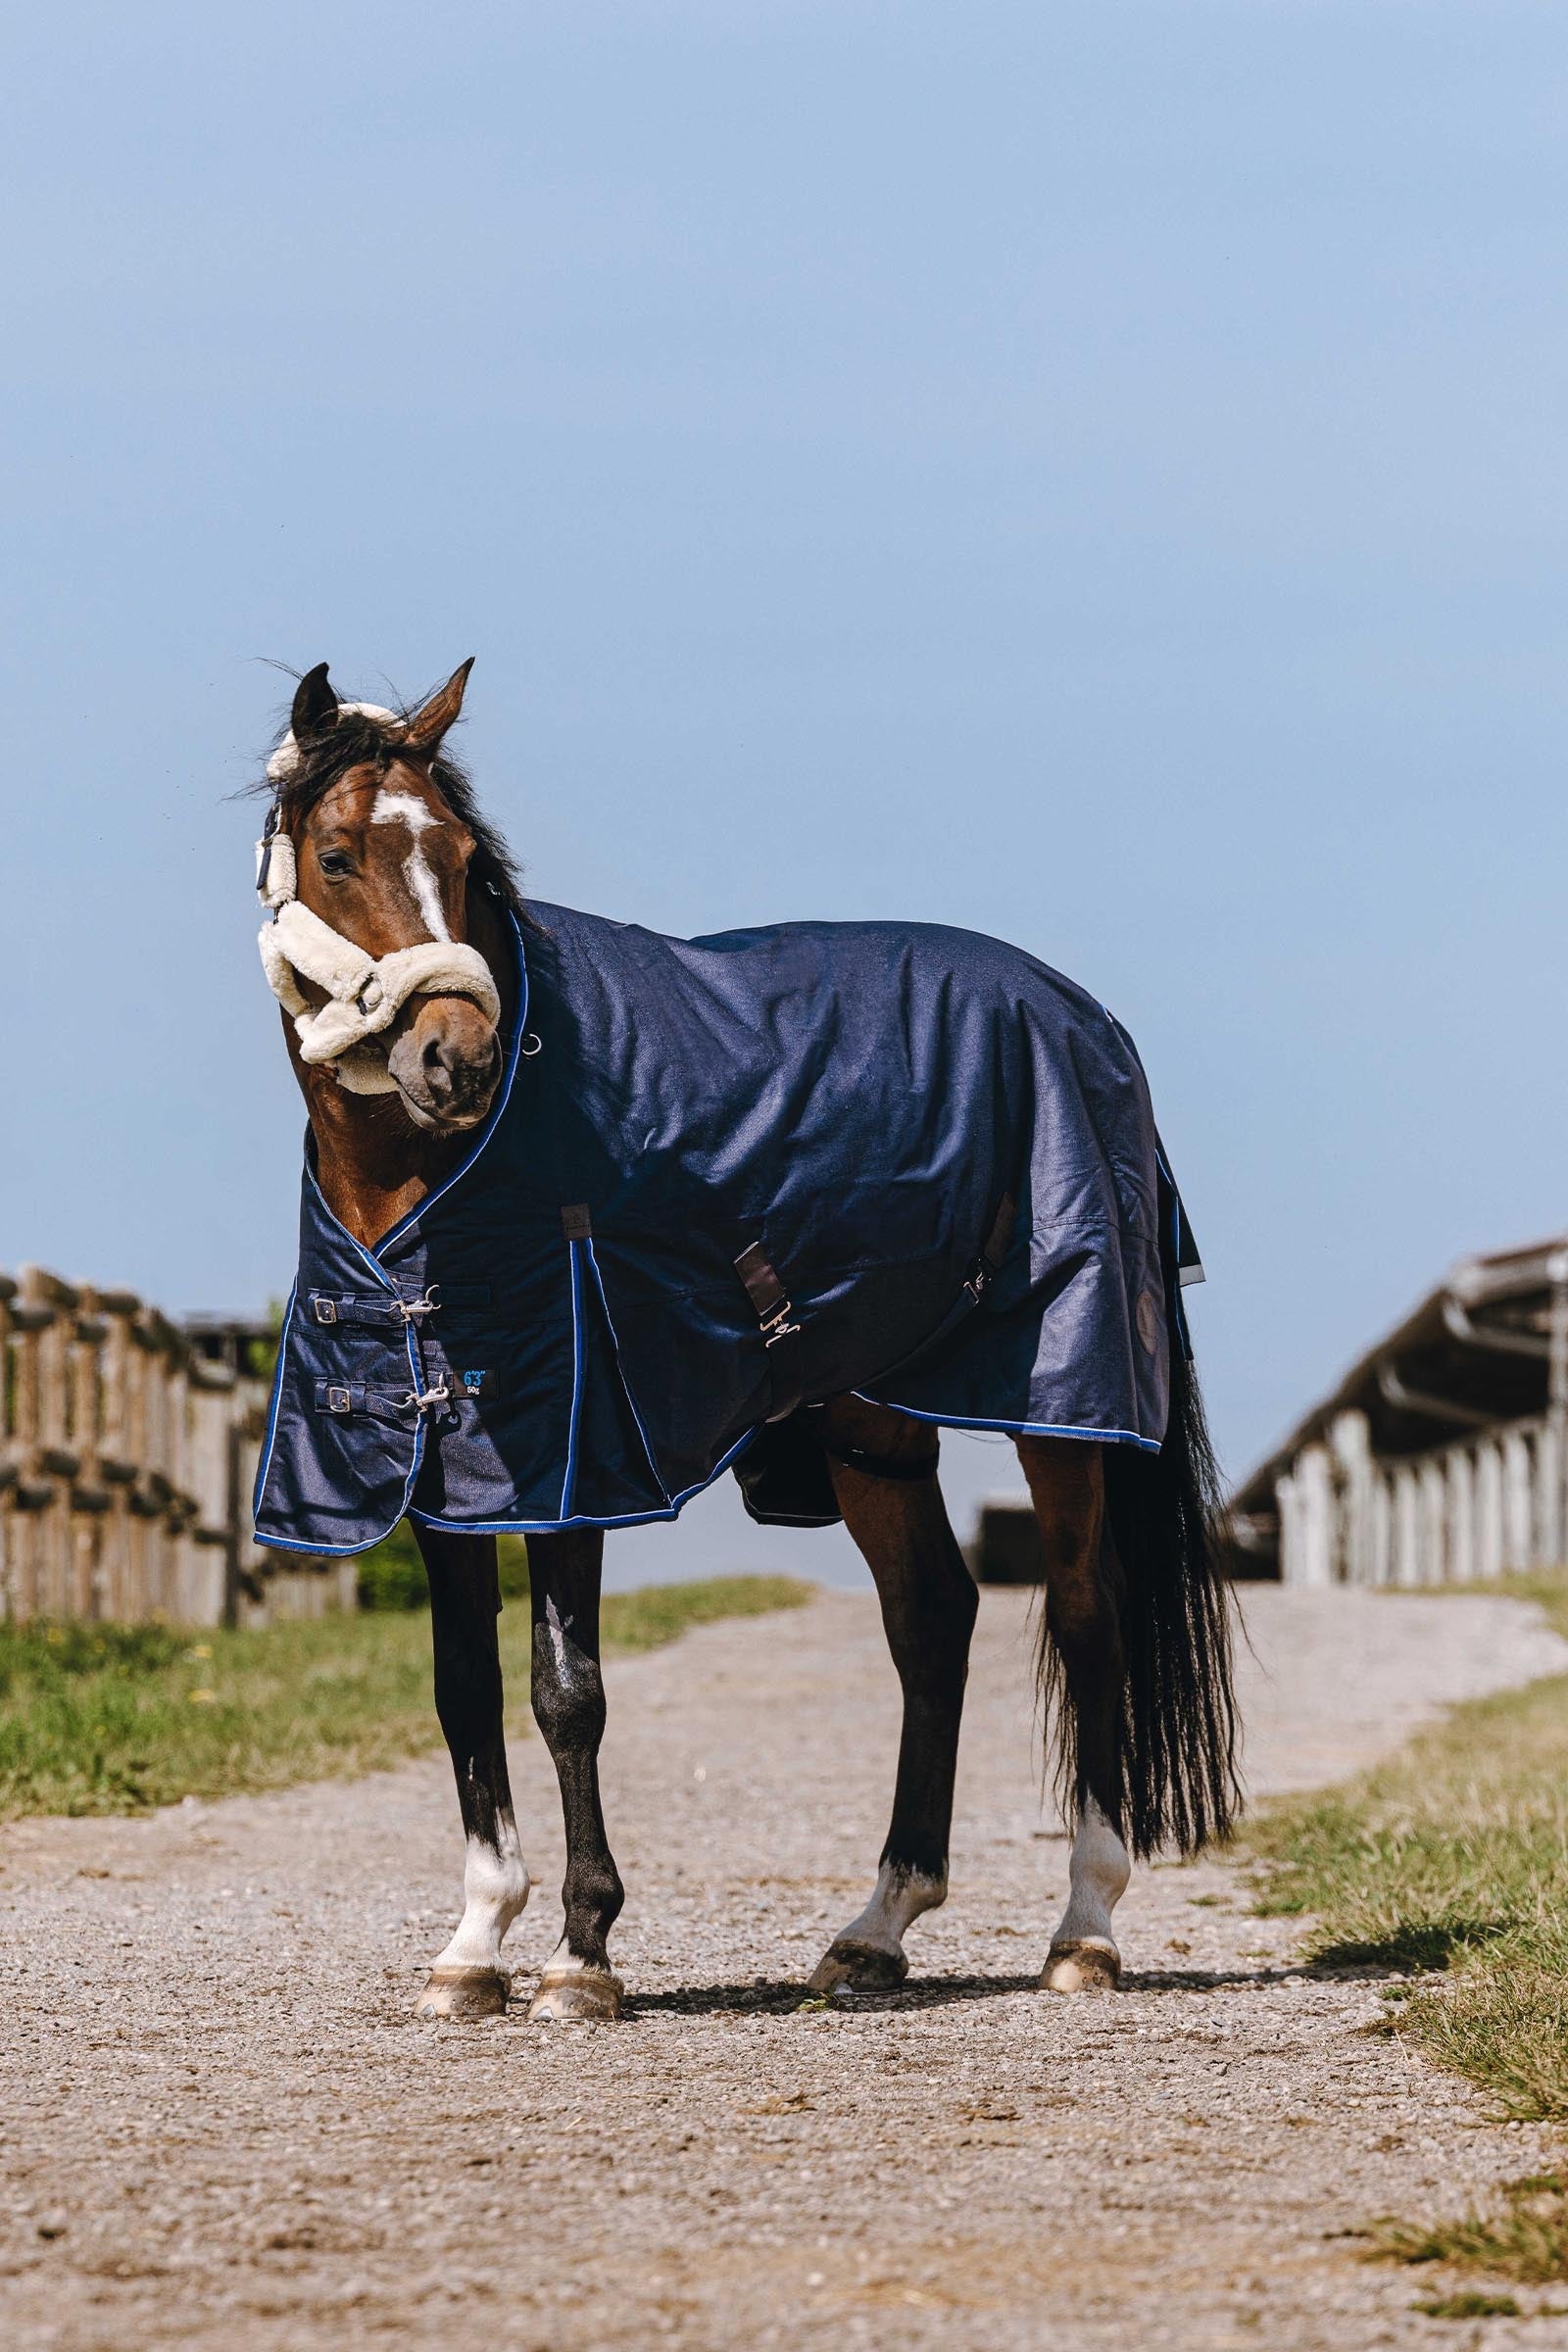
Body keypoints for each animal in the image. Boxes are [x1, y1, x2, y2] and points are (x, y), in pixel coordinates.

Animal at [250, 657, 1239, 2024]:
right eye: (338, 856)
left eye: (461, 858)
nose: (459, 1057)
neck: (435, 1192)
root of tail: (1085, 1019)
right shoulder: (438, 1467)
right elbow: (462, 1690)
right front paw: (474, 1944)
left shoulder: (576, 1463)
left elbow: (566, 1696)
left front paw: (581, 1954)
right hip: (872, 1425)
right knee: (930, 1620)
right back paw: (875, 1929)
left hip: (1064, 1406)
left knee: (1086, 1614)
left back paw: (1081, 1932)